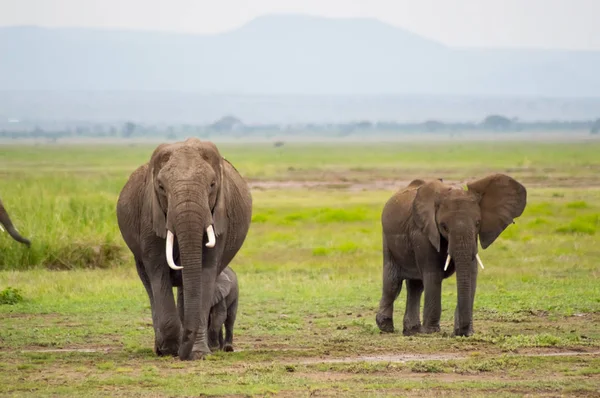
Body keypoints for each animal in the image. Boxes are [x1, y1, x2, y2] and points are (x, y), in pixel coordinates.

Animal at [116, 138, 252, 360]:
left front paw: (197, 354)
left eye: (212, 185)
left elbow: (205, 270)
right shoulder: (150, 215)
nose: (182, 353)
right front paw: (170, 349)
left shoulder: (218, 216)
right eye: (161, 187)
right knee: (149, 284)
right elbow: (158, 271)